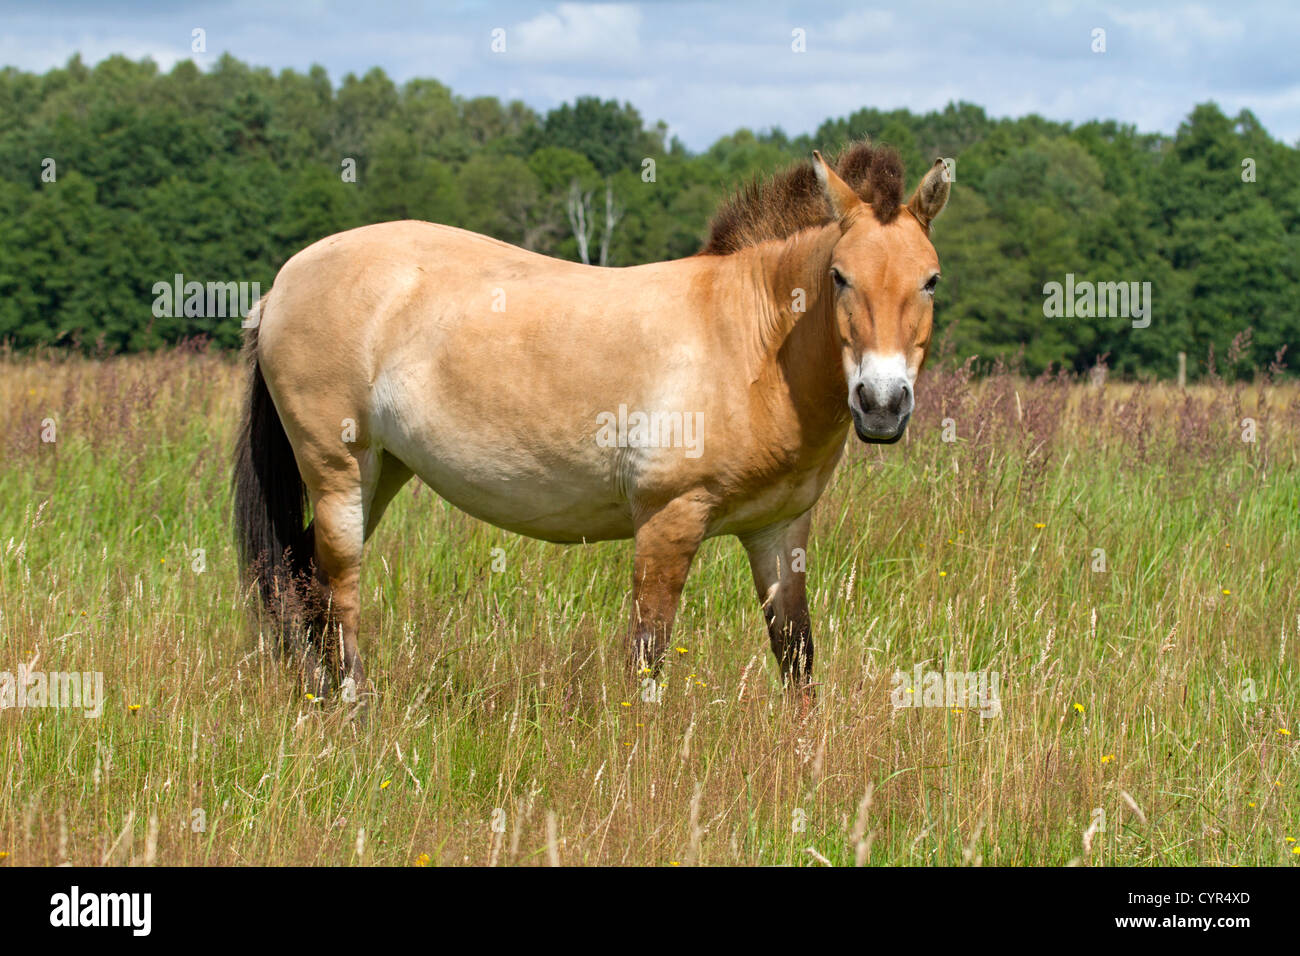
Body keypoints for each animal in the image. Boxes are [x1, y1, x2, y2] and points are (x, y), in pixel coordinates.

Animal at [231, 145, 946, 707]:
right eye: (839, 277)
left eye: (931, 281)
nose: (882, 404)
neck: (751, 341)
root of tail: (282, 284)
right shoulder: (667, 521)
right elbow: (648, 659)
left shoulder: (779, 530)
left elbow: (795, 654)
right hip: (338, 470)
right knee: (339, 586)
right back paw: (355, 711)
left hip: (381, 472)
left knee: (303, 575)